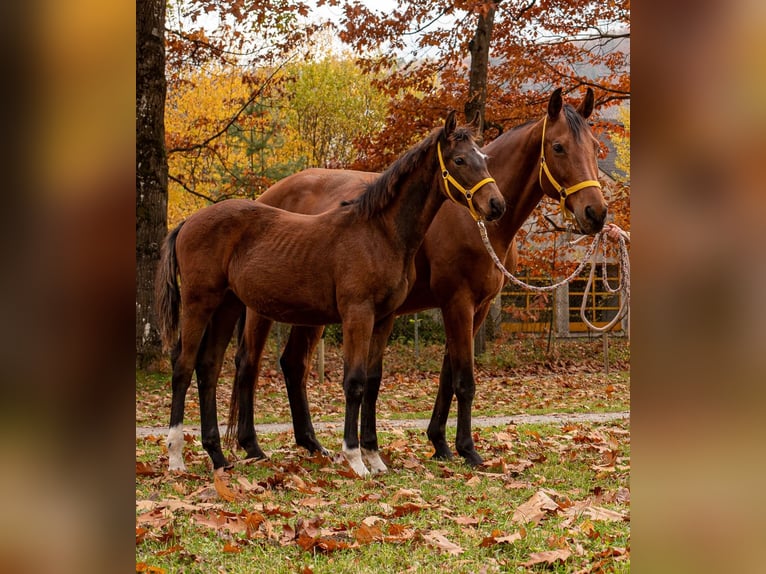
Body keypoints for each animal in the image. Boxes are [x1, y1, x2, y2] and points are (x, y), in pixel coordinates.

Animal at [154, 111, 506, 476]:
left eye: (484, 159)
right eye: (460, 160)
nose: (496, 205)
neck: (379, 232)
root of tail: (187, 222)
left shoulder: (384, 319)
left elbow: (372, 383)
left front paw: (375, 458)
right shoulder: (358, 314)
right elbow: (354, 382)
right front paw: (355, 459)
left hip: (226, 306)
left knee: (208, 367)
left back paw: (218, 456)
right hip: (200, 304)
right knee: (184, 367)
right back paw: (177, 456)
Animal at [224, 87, 608, 467]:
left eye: (594, 147)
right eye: (558, 147)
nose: (596, 212)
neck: (471, 219)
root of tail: (267, 195)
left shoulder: (477, 308)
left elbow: (447, 375)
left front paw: (440, 443)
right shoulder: (457, 303)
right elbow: (463, 380)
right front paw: (467, 449)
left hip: (309, 312)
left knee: (293, 364)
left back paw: (312, 444)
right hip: (262, 310)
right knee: (248, 364)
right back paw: (251, 445)